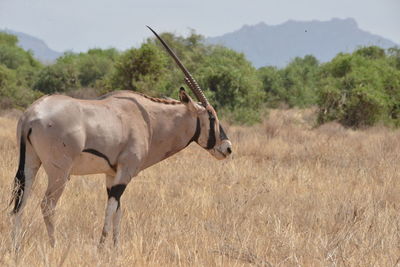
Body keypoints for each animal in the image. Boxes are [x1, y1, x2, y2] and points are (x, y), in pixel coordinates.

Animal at [10, 26, 233, 248]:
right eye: (211, 116)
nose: (227, 147)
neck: (149, 121)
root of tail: (31, 115)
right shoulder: (125, 172)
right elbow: (111, 209)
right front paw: (101, 247)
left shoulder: (112, 175)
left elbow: (118, 211)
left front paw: (116, 247)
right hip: (59, 172)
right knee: (47, 204)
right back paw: (53, 246)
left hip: (31, 164)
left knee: (20, 201)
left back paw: (16, 247)